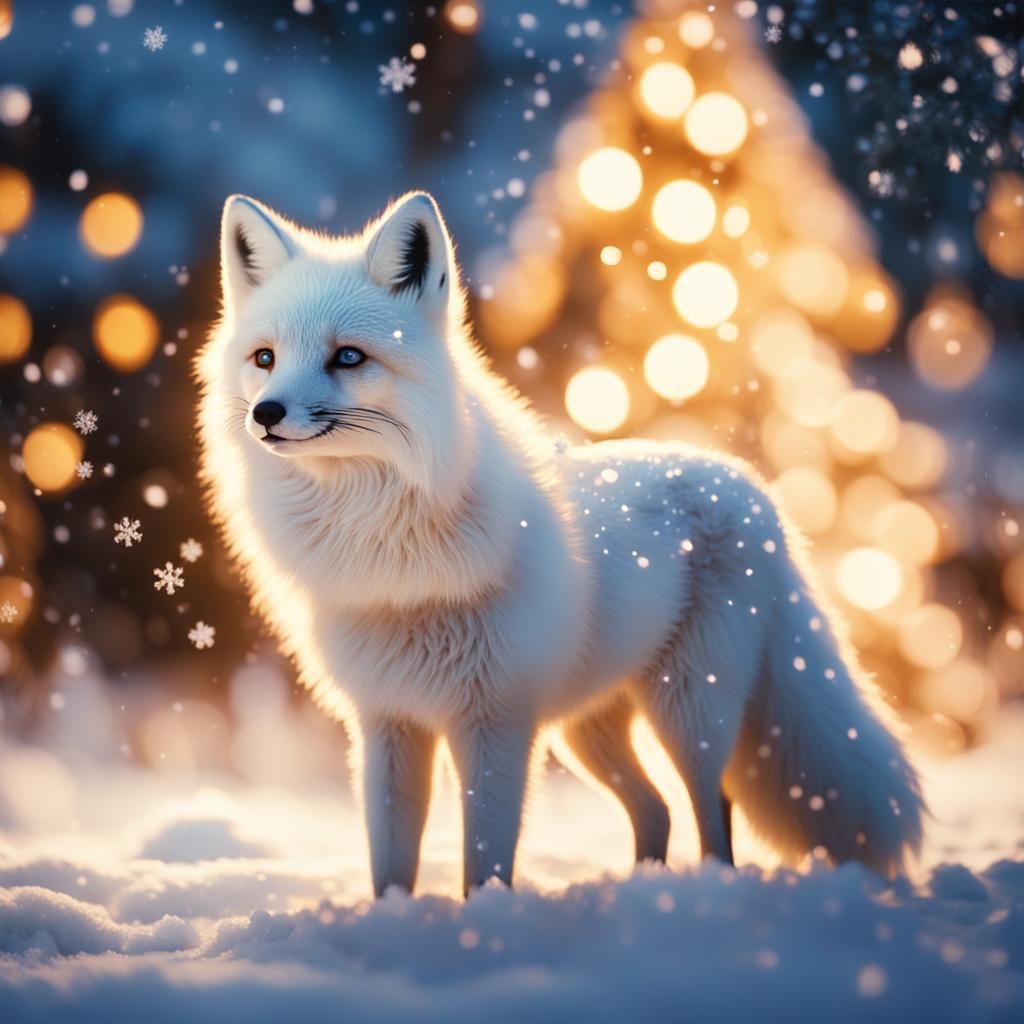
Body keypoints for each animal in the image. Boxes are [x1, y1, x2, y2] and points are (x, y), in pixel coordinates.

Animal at [197, 190, 923, 898]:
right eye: (264, 358)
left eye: (348, 356)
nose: (265, 414)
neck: (387, 554)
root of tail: (749, 485)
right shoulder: (387, 722)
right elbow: (390, 867)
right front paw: (396, 923)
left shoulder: (495, 722)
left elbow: (484, 864)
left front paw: (486, 920)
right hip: (589, 732)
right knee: (656, 809)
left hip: (689, 711)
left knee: (712, 810)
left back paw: (703, 895)